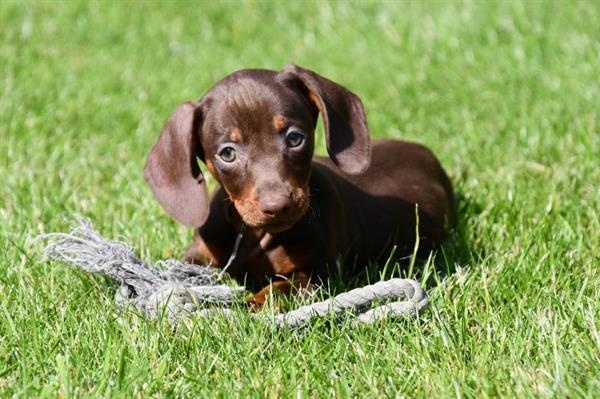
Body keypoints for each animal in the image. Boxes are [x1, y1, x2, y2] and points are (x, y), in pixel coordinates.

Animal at [145, 64, 452, 306]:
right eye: (227, 153)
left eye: (294, 138)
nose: (278, 205)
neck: (252, 235)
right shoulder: (199, 256)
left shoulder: (315, 273)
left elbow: (274, 292)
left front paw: (243, 309)